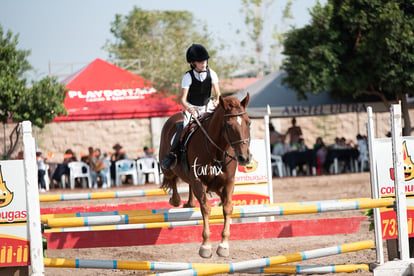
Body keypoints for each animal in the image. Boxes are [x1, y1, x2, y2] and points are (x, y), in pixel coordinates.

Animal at [158, 94, 251, 258]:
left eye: (249, 123)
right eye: (228, 125)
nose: (244, 158)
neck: (217, 150)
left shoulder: (228, 182)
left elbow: (227, 207)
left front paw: (223, 245)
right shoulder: (198, 181)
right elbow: (206, 208)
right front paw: (206, 246)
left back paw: (189, 203)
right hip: (167, 167)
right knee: (172, 180)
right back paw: (176, 200)